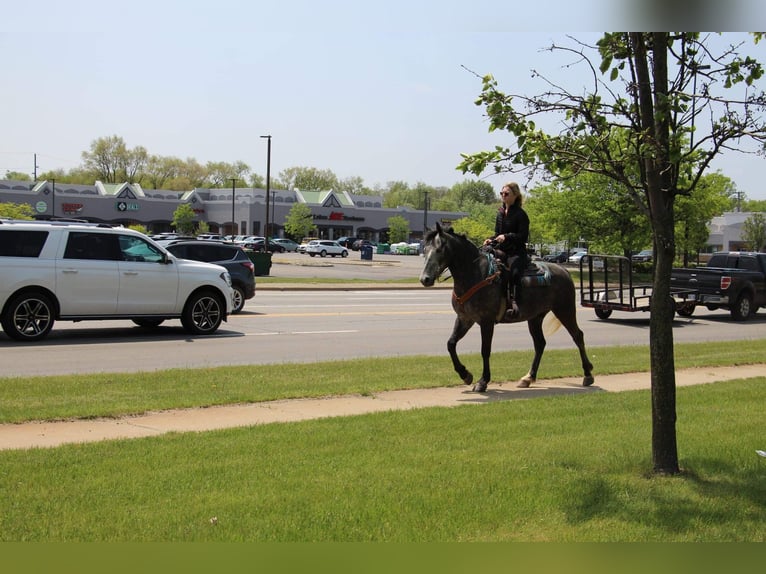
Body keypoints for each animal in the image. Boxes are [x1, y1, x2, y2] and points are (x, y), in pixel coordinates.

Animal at [420, 223, 592, 394]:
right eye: (425, 250)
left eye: (439, 249)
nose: (425, 279)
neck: (475, 274)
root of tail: (565, 271)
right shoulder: (464, 319)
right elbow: (451, 344)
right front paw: (465, 374)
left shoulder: (486, 322)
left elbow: (485, 350)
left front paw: (483, 381)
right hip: (535, 317)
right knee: (540, 344)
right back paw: (528, 377)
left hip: (565, 310)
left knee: (578, 336)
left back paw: (588, 374)